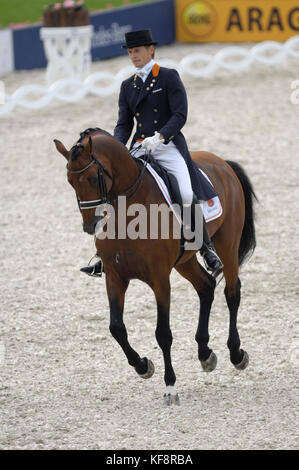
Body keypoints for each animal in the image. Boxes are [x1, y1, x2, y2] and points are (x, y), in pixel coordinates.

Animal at [54, 127, 258, 404]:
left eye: (94, 179)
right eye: (70, 181)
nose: (90, 225)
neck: (128, 214)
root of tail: (222, 162)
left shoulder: (160, 279)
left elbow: (163, 333)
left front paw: (170, 386)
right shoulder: (114, 276)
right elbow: (116, 328)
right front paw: (143, 366)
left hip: (227, 245)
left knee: (232, 292)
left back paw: (236, 354)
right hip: (185, 260)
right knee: (206, 286)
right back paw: (205, 354)